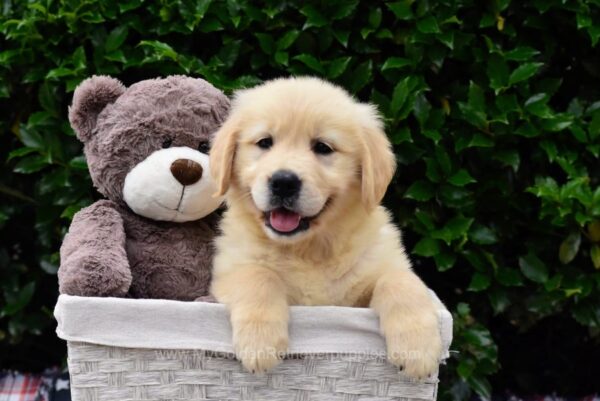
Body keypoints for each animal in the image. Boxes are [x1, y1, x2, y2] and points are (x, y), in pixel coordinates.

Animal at [210, 77, 440, 378]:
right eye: (264, 142)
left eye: (322, 147)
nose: (283, 182)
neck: (309, 249)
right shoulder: (227, 270)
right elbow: (258, 274)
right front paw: (260, 343)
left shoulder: (369, 282)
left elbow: (400, 279)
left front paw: (418, 348)